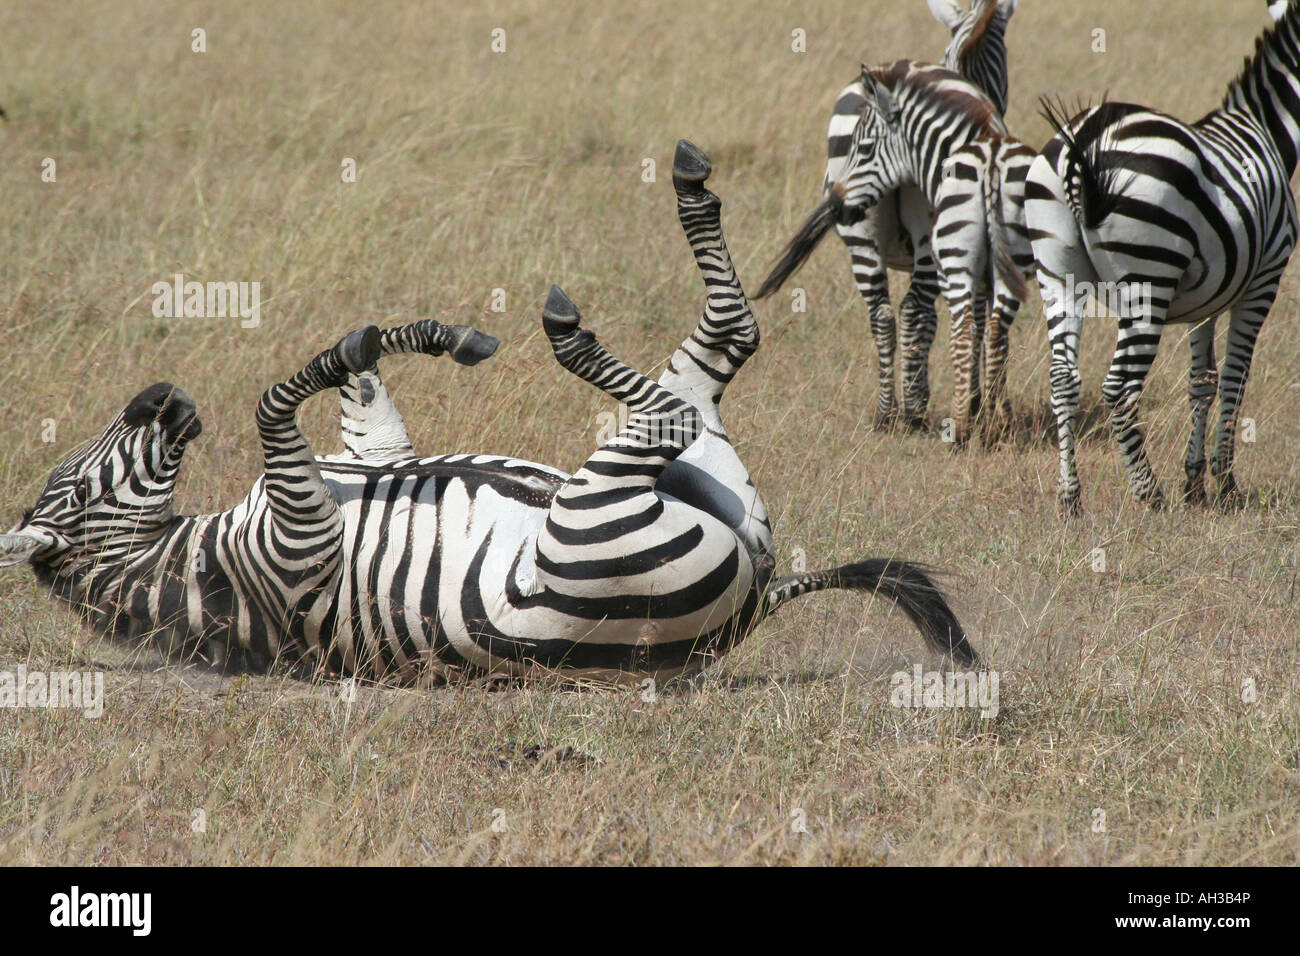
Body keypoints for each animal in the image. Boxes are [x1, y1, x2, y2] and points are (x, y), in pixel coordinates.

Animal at [1, 141, 978, 683]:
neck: (184, 557)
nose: (160, 397)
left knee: (709, 362)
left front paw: (413, 335)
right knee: (690, 384)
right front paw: (387, 341)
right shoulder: (301, 544)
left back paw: (682, 200)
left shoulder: (360, 461)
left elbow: (352, 393)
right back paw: (578, 325)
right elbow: (272, 400)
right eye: (73, 486)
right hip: (594, 519)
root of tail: (758, 600)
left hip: (709, 480)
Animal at [754, 1, 1016, 432]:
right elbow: (971, 318)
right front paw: (976, 402)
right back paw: (912, 411)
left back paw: (886, 411)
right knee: (913, 311)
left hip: (859, 232)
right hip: (927, 233)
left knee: (882, 314)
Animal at [1025, 6, 1300, 517]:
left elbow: (1202, 380)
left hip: (1056, 272)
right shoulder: (1263, 279)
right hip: (1147, 279)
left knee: (1063, 379)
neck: (1268, 132)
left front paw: (1195, 482)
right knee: (1118, 389)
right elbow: (1235, 376)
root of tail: (1082, 143)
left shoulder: (1208, 298)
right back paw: (1148, 493)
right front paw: (1225, 484)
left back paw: (1070, 497)